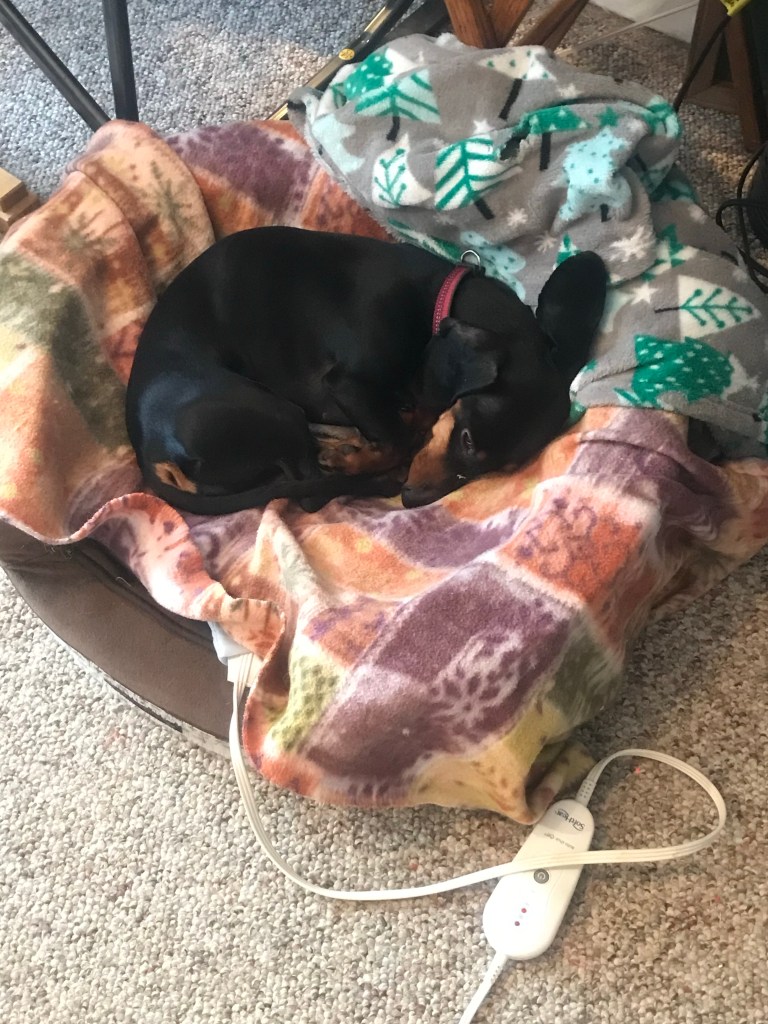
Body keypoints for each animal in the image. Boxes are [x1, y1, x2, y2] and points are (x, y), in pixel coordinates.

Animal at [125, 226, 607, 514]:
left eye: (495, 469)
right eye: (468, 438)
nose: (413, 500)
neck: (436, 299)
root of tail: (151, 452)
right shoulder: (350, 385)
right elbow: (397, 441)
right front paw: (362, 455)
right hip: (271, 411)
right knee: (311, 494)